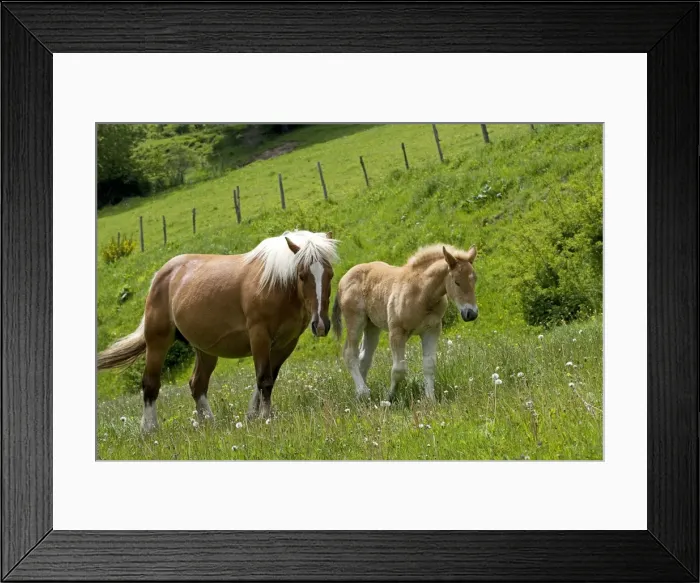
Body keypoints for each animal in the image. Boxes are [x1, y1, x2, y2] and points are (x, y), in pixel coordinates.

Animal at [97, 230, 339, 432]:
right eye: (301, 275)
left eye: (330, 274)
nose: (320, 324)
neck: (277, 284)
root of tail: (160, 275)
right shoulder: (259, 336)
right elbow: (264, 379)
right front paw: (265, 418)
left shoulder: (286, 343)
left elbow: (267, 379)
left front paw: (252, 416)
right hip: (158, 341)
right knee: (150, 385)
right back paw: (149, 429)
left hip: (205, 350)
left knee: (197, 385)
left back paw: (208, 424)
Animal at [331, 244, 478, 403]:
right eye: (457, 281)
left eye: (474, 279)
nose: (471, 313)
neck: (421, 294)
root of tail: (342, 280)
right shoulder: (397, 332)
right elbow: (398, 369)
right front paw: (389, 398)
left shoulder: (432, 330)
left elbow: (429, 365)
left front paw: (430, 399)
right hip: (355, 321)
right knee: (349, 353)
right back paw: (363, 392)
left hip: (372, 327)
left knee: (364, 358)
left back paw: (360, 394)